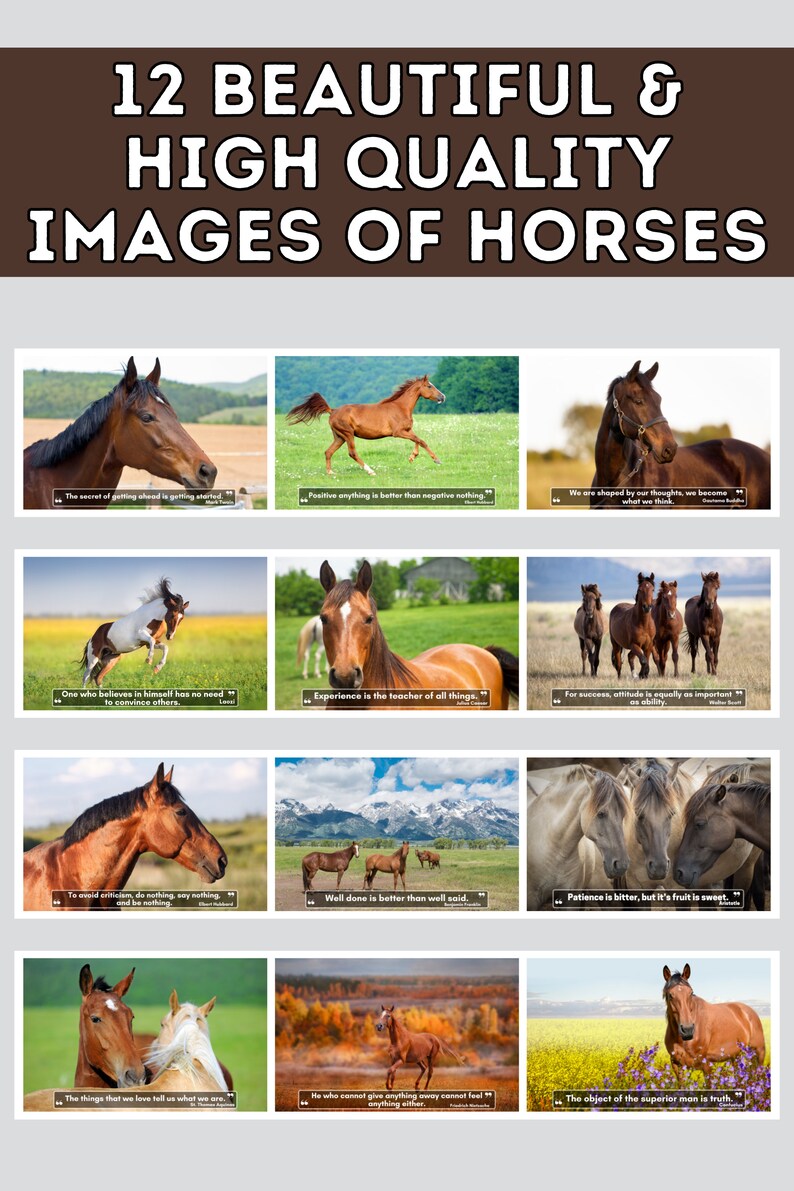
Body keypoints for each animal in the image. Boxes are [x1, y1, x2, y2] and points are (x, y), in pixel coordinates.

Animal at [286, 375, 446, 476]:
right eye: (429, 386)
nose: (443, 397)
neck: (400, 407)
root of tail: (332, 410)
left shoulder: (407, 430)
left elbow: (418, 440)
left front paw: (412, 457)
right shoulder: (398, 432)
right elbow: (421, 440)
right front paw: (437, 460)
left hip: (339, 437)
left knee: (328, 452)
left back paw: (330, 472)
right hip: (348, 434)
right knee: (352, 453)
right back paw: (370, 471)